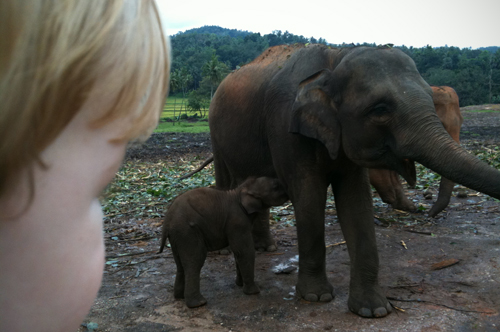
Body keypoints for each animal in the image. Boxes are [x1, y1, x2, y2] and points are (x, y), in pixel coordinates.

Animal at [158, 176, 288, 308]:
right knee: (195, 261)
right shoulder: (237, 222)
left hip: (176, 236)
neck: (240, 190)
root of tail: (167, 220)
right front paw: (254, 292)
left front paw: (239, 284)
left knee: (180, 264)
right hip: (187, 232)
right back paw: (199, 303)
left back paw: (180, 296)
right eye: (276, 186)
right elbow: (244, 251)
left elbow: (238, 252)